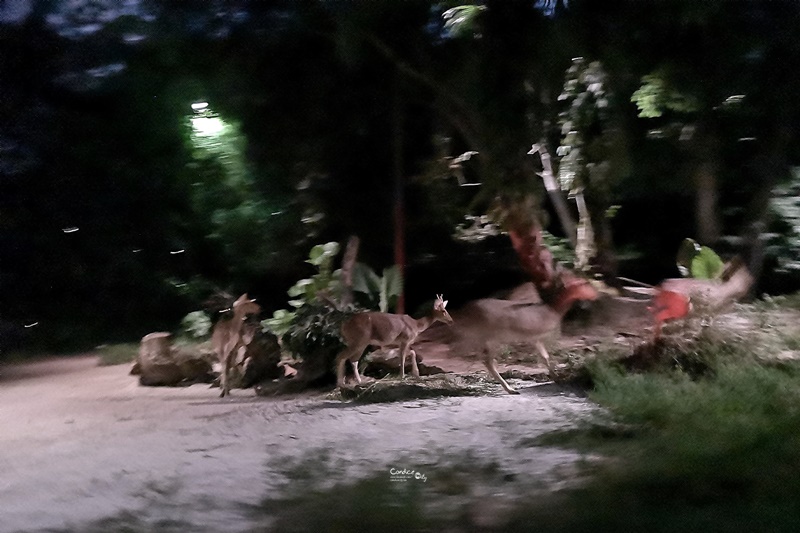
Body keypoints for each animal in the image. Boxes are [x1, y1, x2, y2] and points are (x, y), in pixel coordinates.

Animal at [446, 274, 596, 394]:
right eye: (584, 283)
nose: (595, 293)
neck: (554, 311)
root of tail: (463, 312)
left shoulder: (535, 338)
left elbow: (544, 356)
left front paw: (556, 377)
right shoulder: (534, 335)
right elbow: (544, 356)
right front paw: (558, 377)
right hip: (491, 336)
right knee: (483, 359)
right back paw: (510, 389)